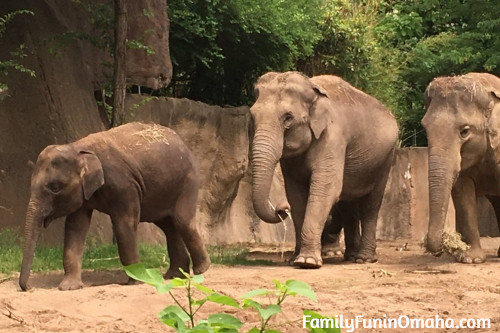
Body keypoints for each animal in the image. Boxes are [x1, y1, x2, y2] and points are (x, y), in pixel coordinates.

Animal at [19, 120, 211, 290]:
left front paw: (136, 281)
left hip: (188, 180)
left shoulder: (125, 185)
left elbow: (124, 224)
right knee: (168, 226)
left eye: (55, 188)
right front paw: (69, 287)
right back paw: (174, 275)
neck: (77, 148)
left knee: (181, 221)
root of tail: (182, 141)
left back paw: (201, 270)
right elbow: (75, 227)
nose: (29, 288)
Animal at [248, 71, 396, 268]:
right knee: (348, 206)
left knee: (370, 204)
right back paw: (350, 257)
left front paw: (307, 262)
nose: (281, 209)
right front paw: (295, 260)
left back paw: (363, 259)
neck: (312, 89)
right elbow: (295, 195)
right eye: (252, 117)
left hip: (385, 160)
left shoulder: (332, 137)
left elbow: (325, 190)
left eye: (288, 118)